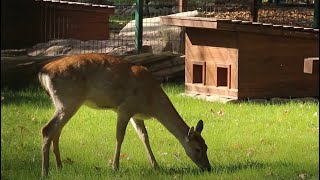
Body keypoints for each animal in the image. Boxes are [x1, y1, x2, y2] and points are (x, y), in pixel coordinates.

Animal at [38, 52, 212, 176]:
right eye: (197, 149)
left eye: (206, 146)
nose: (208, 168)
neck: (151, 102)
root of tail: (43, 73)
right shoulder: (125, 108)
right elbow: (119, 137)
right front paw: (115, 167)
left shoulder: (136, 114)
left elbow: (144, 136)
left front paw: (155, 166)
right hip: (68, 100)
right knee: (47, 129)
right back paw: (45, 172)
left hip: (61, 102)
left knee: (56, 132)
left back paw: (60, 167)